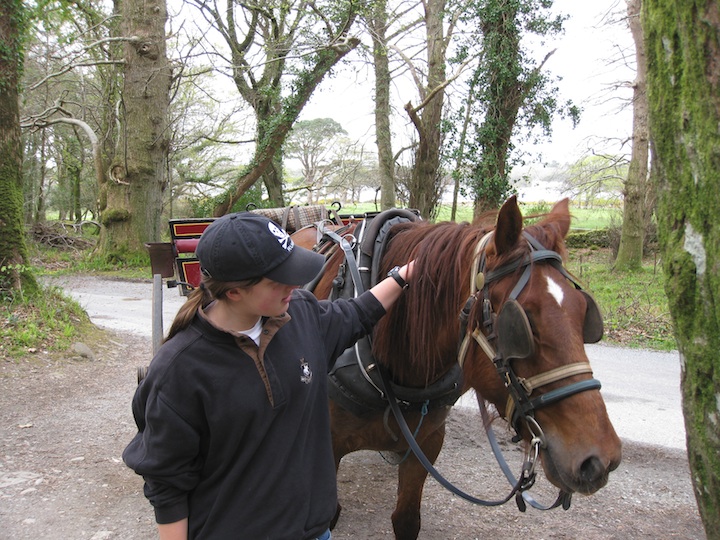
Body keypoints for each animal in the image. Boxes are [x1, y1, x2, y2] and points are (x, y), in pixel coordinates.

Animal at [293, 196, 622, 540]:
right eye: (520, 325)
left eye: (584, 312)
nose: (599, 460)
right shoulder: (328, 451)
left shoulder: (427, 442)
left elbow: (407, 519)